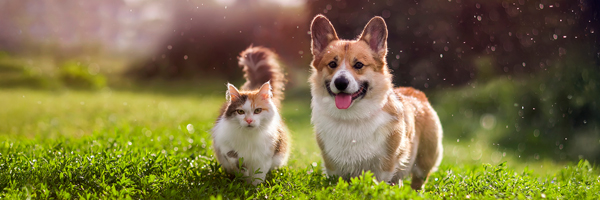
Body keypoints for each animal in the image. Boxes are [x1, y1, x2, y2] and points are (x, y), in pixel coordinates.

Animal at [212, 46, 290, 185]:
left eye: (257, 111)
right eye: (240, 112)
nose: (249, 120)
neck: (249, 137)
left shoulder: (265, 155)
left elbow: (258, 175)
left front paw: (254, 187)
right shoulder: (223, 143)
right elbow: (234, 158)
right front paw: (243, 176)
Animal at [310, 14, 440, 190]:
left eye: (359, 65)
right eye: (332, 64)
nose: (341, 82)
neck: (351, 118)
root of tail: (416, 92)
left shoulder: (384, 166)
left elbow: (379, 183)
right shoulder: (333, 167)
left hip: (424, 162)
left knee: (418, 182)